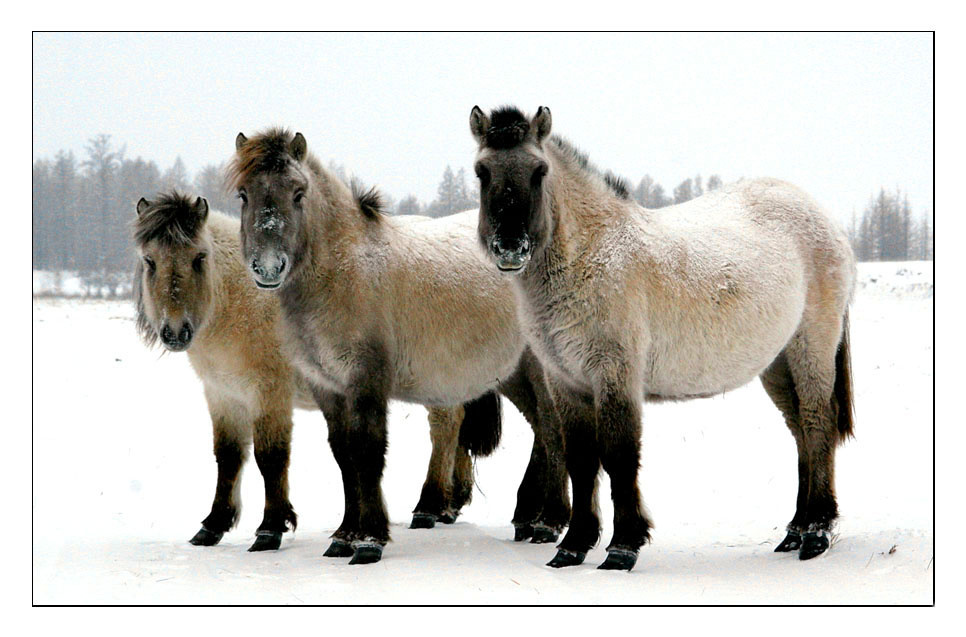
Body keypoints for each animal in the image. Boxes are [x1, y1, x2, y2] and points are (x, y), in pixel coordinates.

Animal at [132, 191, 504, 552]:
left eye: (200, 257)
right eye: (150, 261)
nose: (175, 332)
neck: (242, 300)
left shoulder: (270, 392)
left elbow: (271, 455)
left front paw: (271, 527)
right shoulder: (223, 394)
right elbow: (228, 456)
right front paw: (213, 525)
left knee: (444, 429)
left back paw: (428, 507)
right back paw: (447, 506)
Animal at [228, 128, 570, 564]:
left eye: (298, 192)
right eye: (244, 195)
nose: (269, 267)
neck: (344, 270)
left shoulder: (367, 380)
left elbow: (368, 452)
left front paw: (370, 540)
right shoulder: (328, 386)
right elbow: (345, 456)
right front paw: (345, 534)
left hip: (539, 371)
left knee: (554, 430)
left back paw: (550, 523)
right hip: (510, 374)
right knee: (542, 431)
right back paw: (529, 519)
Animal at [469, 105, 856, 571]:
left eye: (539, 171)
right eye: (482, 172)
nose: (510, 247)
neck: (590, 254)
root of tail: (824, 218)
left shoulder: (615, 374)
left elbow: (618, 455)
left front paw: (623, 547)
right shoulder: (567, 381)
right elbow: (581, 460)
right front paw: (574, 545)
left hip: (811, 348)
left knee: (818, 425)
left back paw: (817, 533)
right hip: (776, 364)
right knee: (800, 430)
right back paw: (796, 531)